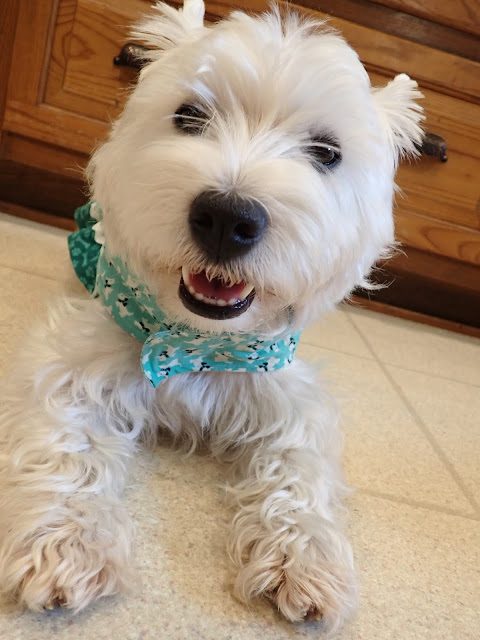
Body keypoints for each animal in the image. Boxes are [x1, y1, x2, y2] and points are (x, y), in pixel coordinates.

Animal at [0, 1, 423, 634]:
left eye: (327, 152)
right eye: (189, 115)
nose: (228, 218)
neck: (197, 339)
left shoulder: (286, 389)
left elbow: (299, 468)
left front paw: (303, 562)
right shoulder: (74, 364)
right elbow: (69, 447)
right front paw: (67, 550)